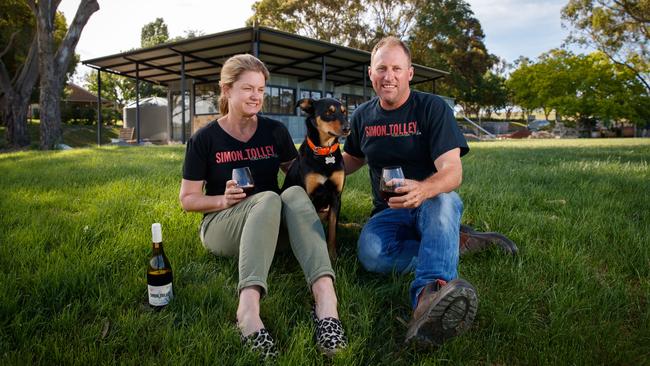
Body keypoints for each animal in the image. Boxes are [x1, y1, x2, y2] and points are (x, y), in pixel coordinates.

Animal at [280, 98, 350, 260]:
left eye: (344, 112)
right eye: (329, 112)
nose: (347, 128)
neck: (325, 153)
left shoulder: (336, 197)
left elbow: (332, 231)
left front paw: (332, 255)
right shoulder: (309, 195)